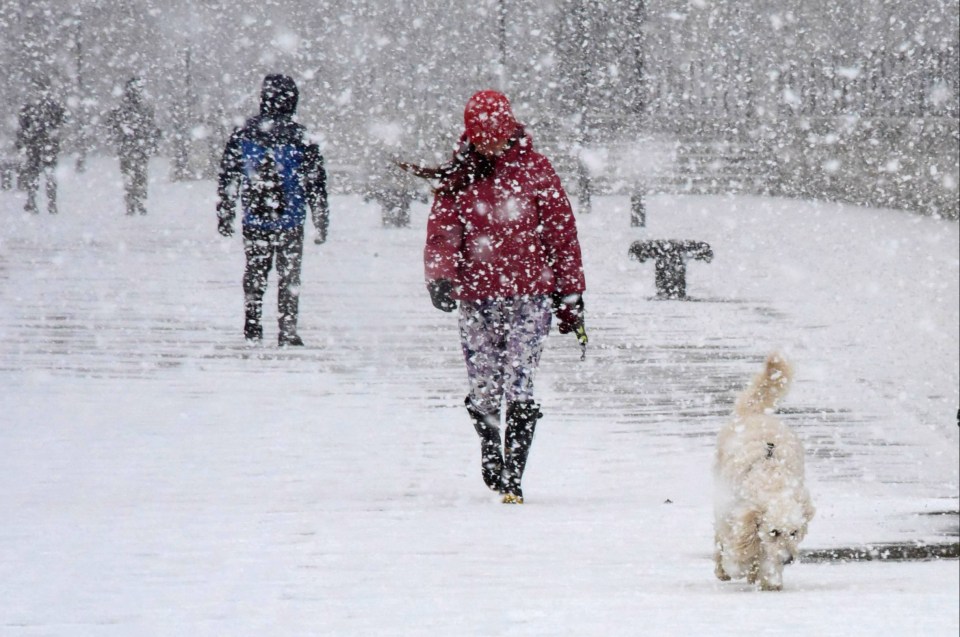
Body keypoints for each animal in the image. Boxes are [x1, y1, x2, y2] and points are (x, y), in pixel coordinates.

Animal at [716, 352, 812, 592]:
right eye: (774, 531)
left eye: (794, 532)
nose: (788, 559)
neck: (771, 477)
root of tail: (755, 413)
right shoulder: (734, 515)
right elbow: (739, 547)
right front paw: (738, 567)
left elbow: (765, 556)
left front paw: (770, 580)